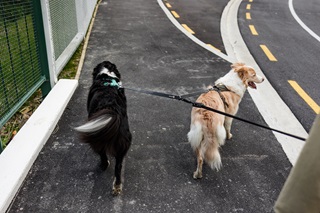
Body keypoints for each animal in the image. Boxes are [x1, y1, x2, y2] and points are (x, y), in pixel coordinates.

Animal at [75, 60, 131, 196]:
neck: (107, 78)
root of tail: (111, 108)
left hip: (97, 138)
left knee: (103, 156)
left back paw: (103, 165)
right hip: (122, 143)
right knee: (118, 168)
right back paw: (117, 186)